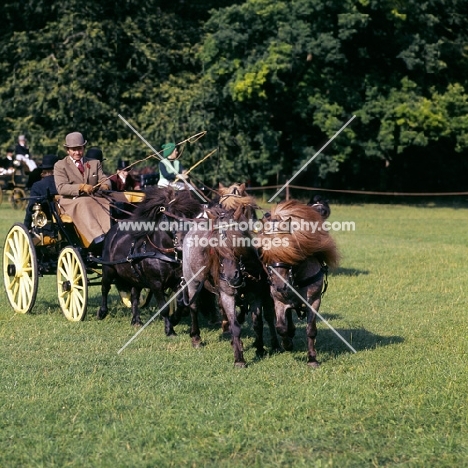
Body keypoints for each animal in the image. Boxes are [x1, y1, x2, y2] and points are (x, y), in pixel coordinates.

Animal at [256, 199, 340, 368]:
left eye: (291, 251)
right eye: (264, 253)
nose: (280, 287)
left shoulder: (314, 300)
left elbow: (311, 330)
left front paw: (312, 358)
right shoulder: (278, 300)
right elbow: (280, 327)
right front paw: (287, 344)